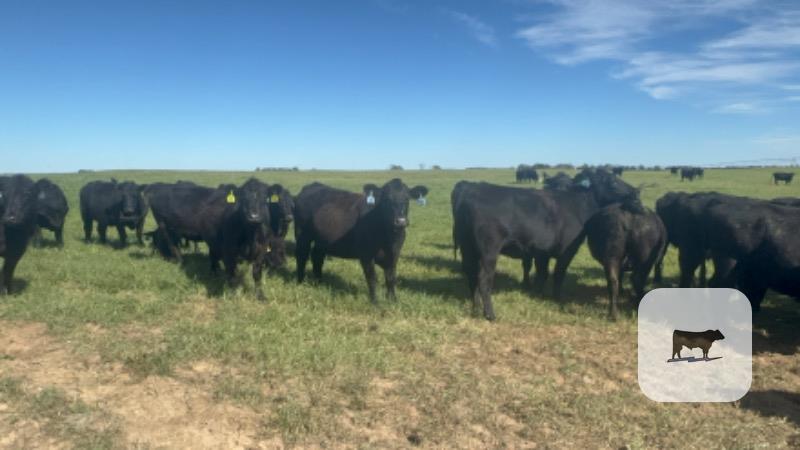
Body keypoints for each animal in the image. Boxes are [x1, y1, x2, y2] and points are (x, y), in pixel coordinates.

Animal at [146, 179, 286, 300]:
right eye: (243, 198)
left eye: (265, 198)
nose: (253, 216)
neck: (250, 235)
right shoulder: (229, 251)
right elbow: (232, 273)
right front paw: (234, 294)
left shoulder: (261, 252)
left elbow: (257, 274)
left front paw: (260, 296)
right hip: (164, 225)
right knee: (172, 244)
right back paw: (182, 261)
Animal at [293, 179, 429, 304]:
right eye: (386, 199)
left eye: (407, 198)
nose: (400, 221)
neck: (388, 239)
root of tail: (313, 185)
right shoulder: (366, 255)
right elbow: (372, 278)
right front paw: (375, 301)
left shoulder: (394, 255)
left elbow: (391, 278)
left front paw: (393, 300)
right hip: (302, 234)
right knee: (302, 256)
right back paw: (300, 282)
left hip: (322, 240)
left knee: (317, 257)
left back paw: (319, 283)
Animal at [453, 168, 639, 320]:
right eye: (612, 181)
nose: (635, 192)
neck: (578, 204)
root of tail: (472, 189)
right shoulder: (567, 250)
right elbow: (558, 274)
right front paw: (556, 297)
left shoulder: (541, 251)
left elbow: (542, 273)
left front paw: (538, 294)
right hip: (489, 250)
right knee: (484, 279)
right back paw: (490, 314)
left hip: (468, 247)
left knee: (472, 276)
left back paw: (476, 308)